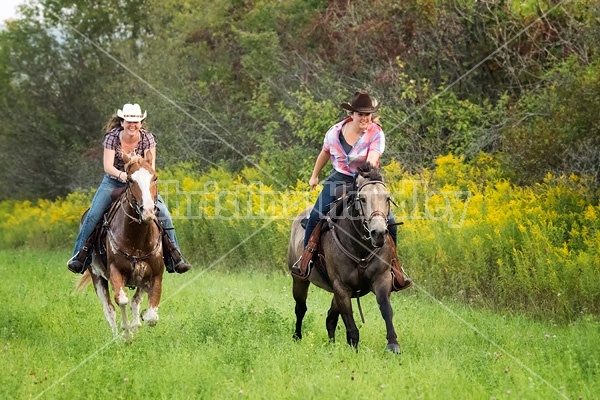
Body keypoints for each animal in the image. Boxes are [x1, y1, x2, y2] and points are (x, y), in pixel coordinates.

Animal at [79, 153, 165, 338]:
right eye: (131, 180)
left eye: (154, 177)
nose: (148, 211)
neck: (137, 239)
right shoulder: (115, 271)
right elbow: (122, 300)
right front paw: (127, 334)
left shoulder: (155, 275)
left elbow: (151, 316)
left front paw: (139, 322)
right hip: (97, 276)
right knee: (109, 309)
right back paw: (117, 336)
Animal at [288, 164, 400, 352]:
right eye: (362, 199)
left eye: (387, 198)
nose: (378, 233)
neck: (360, 247)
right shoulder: (341, 286)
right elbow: (350, 321)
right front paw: (354, 348)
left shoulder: (382, 279)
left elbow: (386, 309)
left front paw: (393, 345)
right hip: (299, 280)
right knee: (300, 308)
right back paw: (297, 337)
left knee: (330, 318)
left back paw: (331, 345)